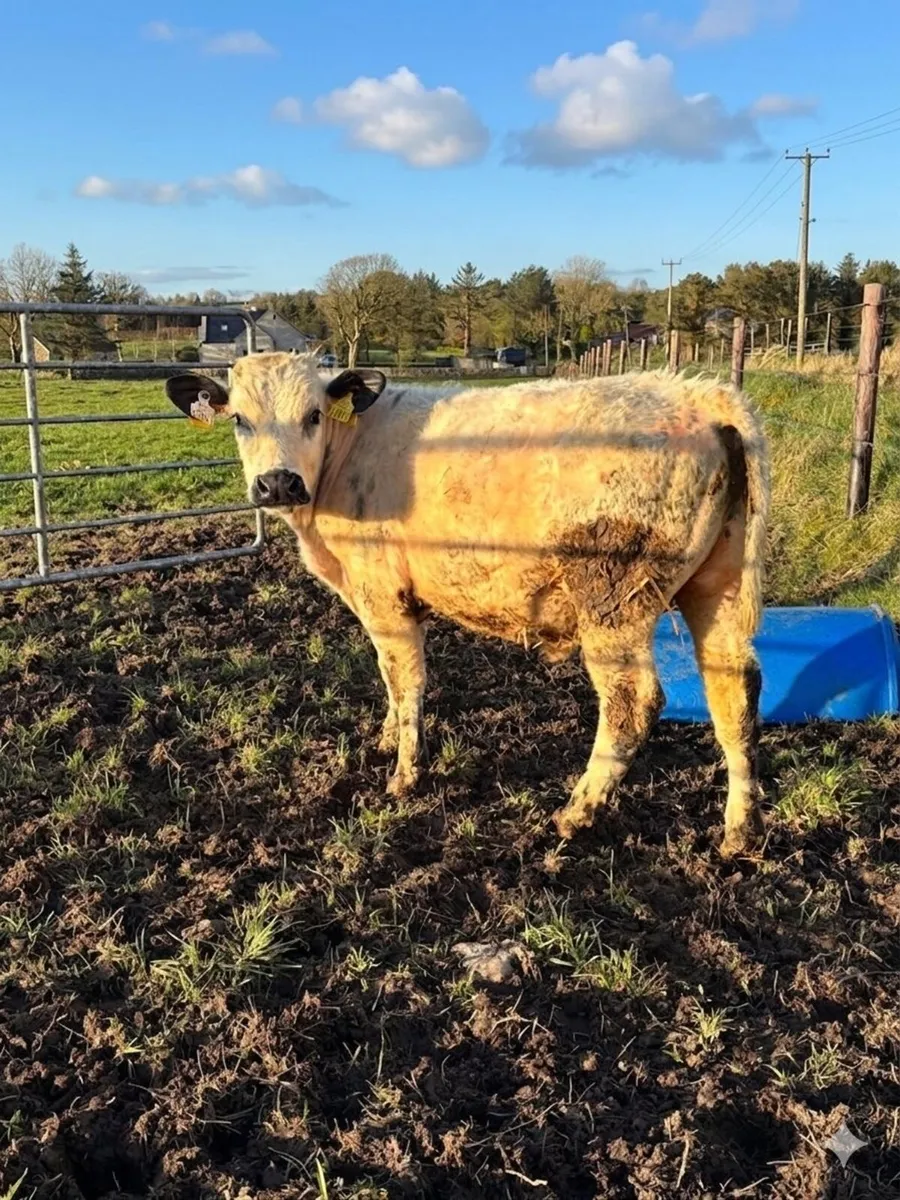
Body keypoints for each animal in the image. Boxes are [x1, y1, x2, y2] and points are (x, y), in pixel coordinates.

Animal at [165, 355, 770, 857]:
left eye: (313, 414)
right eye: (240, 420)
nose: (277, 483)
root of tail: (699, 394)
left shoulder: (384, 596)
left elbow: (405, 679)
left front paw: (404, 774)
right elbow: (387, 678)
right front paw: (387, 737)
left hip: (613, 597)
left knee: (633, 703)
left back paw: (576, 812)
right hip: (717, 586)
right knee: (735, 690)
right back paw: (740, 830)